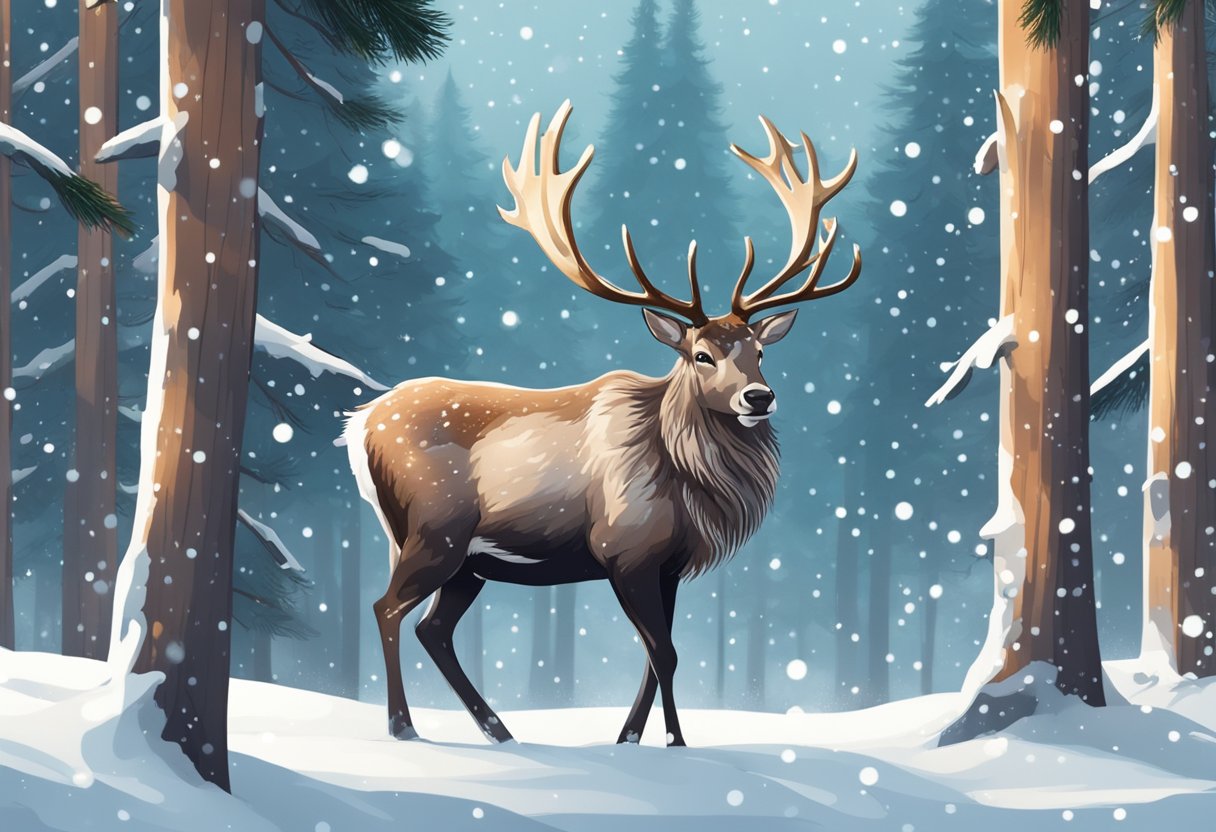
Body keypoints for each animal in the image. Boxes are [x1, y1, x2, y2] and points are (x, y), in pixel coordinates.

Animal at [343, 100, 862, 747]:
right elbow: (663, 652)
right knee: (387, 609)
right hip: (434, 530)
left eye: (760, 351)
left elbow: (656, 654)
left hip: (468, 560)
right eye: (701, 355)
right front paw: (673, 741)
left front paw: (631, 738)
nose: (759, 397)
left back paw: (499, 730)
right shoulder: (624, 549)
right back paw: (404, 727)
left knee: (432, 628)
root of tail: (358, 425)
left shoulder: (669, 563)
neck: (687, 480)